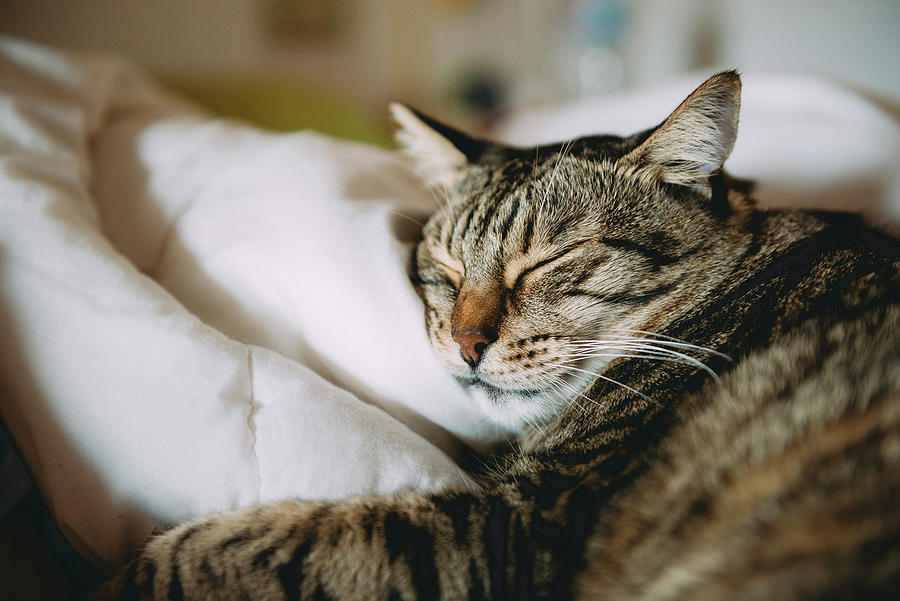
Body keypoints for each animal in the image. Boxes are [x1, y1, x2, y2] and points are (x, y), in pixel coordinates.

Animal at [91, 71, 900, 600]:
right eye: (446, 269)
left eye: (545, 262)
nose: (466, 342)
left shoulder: (519, 526)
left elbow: (244, 545)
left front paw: (132, 573)